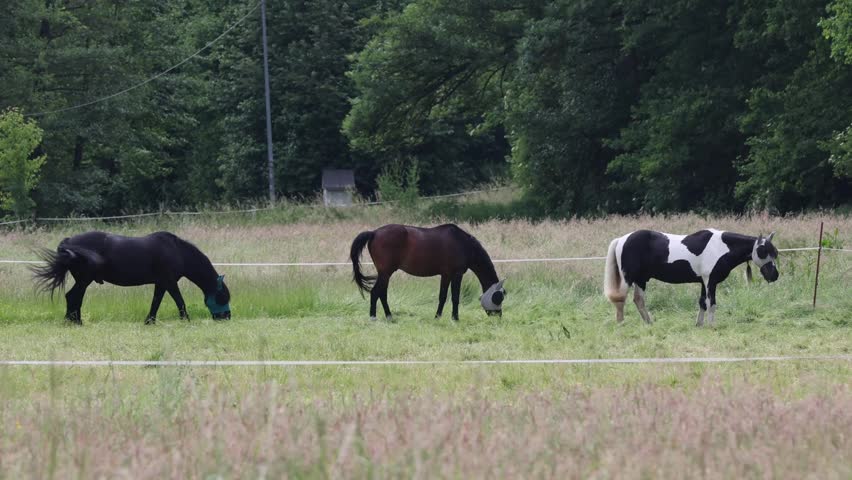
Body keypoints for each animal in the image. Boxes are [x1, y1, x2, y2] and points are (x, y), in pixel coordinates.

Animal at [32, 231, 231, 325]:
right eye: (222, 297)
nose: (226, 317)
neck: (177, 251)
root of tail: (68, 241)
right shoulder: (169, 282)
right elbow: (179, 301)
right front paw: (186, 320)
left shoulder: (161, 283)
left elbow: (156, 302)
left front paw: (149, 321)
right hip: (84, 280)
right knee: (73, 297)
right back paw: (75, 322)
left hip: (83, 280)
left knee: (73, 297)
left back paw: (73, 321)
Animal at [350, 224, 506, 321]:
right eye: (499, 298)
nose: (498, 317)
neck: (464, 245)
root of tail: (374, 233)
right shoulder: (456, 275)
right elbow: (454, 297)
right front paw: (455, 318)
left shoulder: (446, 275)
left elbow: (443, 297)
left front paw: (438, 317)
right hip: (385, 273)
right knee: (376, 292)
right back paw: (374, 317)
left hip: (385, 275)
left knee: (381, 293)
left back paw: (389, 316)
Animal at [603, 229, 778, 326]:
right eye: (763, 251)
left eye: (775, 253)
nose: (774, 275)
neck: (720, 247)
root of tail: (622, 239)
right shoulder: (710, 281)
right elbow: (711, 303)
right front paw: (712, 325)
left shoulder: (703, 282)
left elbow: (702, 303)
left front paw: (699, 324)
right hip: (628, 278)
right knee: (621, 299)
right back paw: (621, 323)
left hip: (641, 280)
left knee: (639, 300)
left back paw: (649, 323)